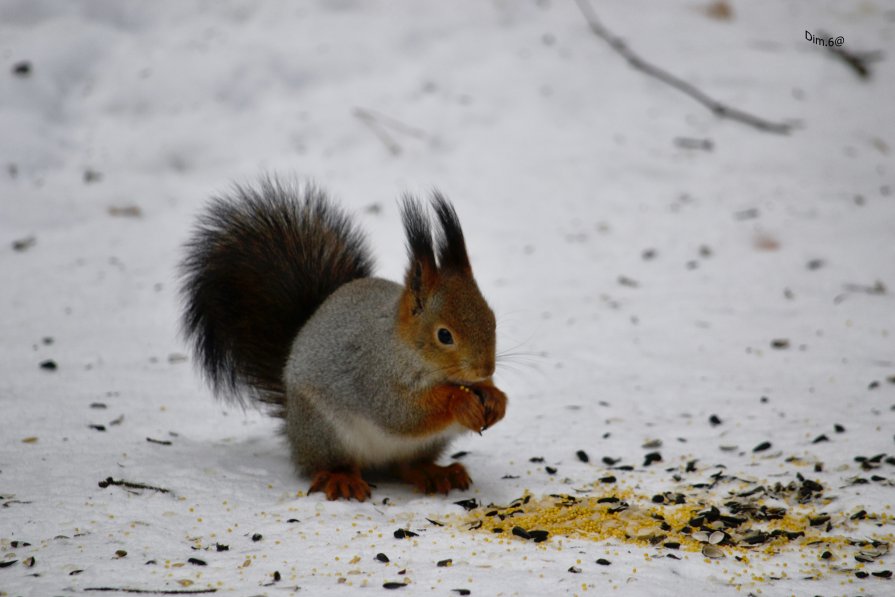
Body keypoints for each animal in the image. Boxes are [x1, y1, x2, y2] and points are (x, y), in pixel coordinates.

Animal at [178, 179, 508, 500]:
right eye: (444, 335)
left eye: (492, 319)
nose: (485, 369)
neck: (407, 350)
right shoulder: (374, 374)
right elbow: (401, 414)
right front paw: (461, 401)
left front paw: (495, 397)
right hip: (326, 430)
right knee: (330, 463)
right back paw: (341, 479)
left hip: (426, 443)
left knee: (407, 465)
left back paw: (436, 473)